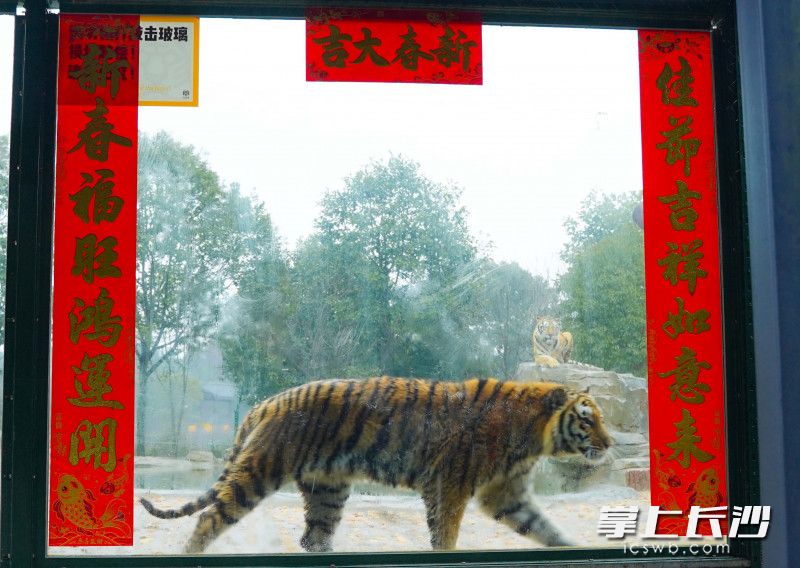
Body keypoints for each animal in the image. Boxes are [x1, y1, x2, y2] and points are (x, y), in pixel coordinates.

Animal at [141, 376, 611, 553]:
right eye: (588, 419)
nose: (609, 444)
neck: (533, 437)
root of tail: (266, 402)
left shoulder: (506, 494)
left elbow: (544, 528)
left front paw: (574, 548)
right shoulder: (450, 486)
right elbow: (446, 536)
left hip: (329, 490)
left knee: (314, 537)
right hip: (260, 471)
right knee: (210, 519)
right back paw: (188, 554)